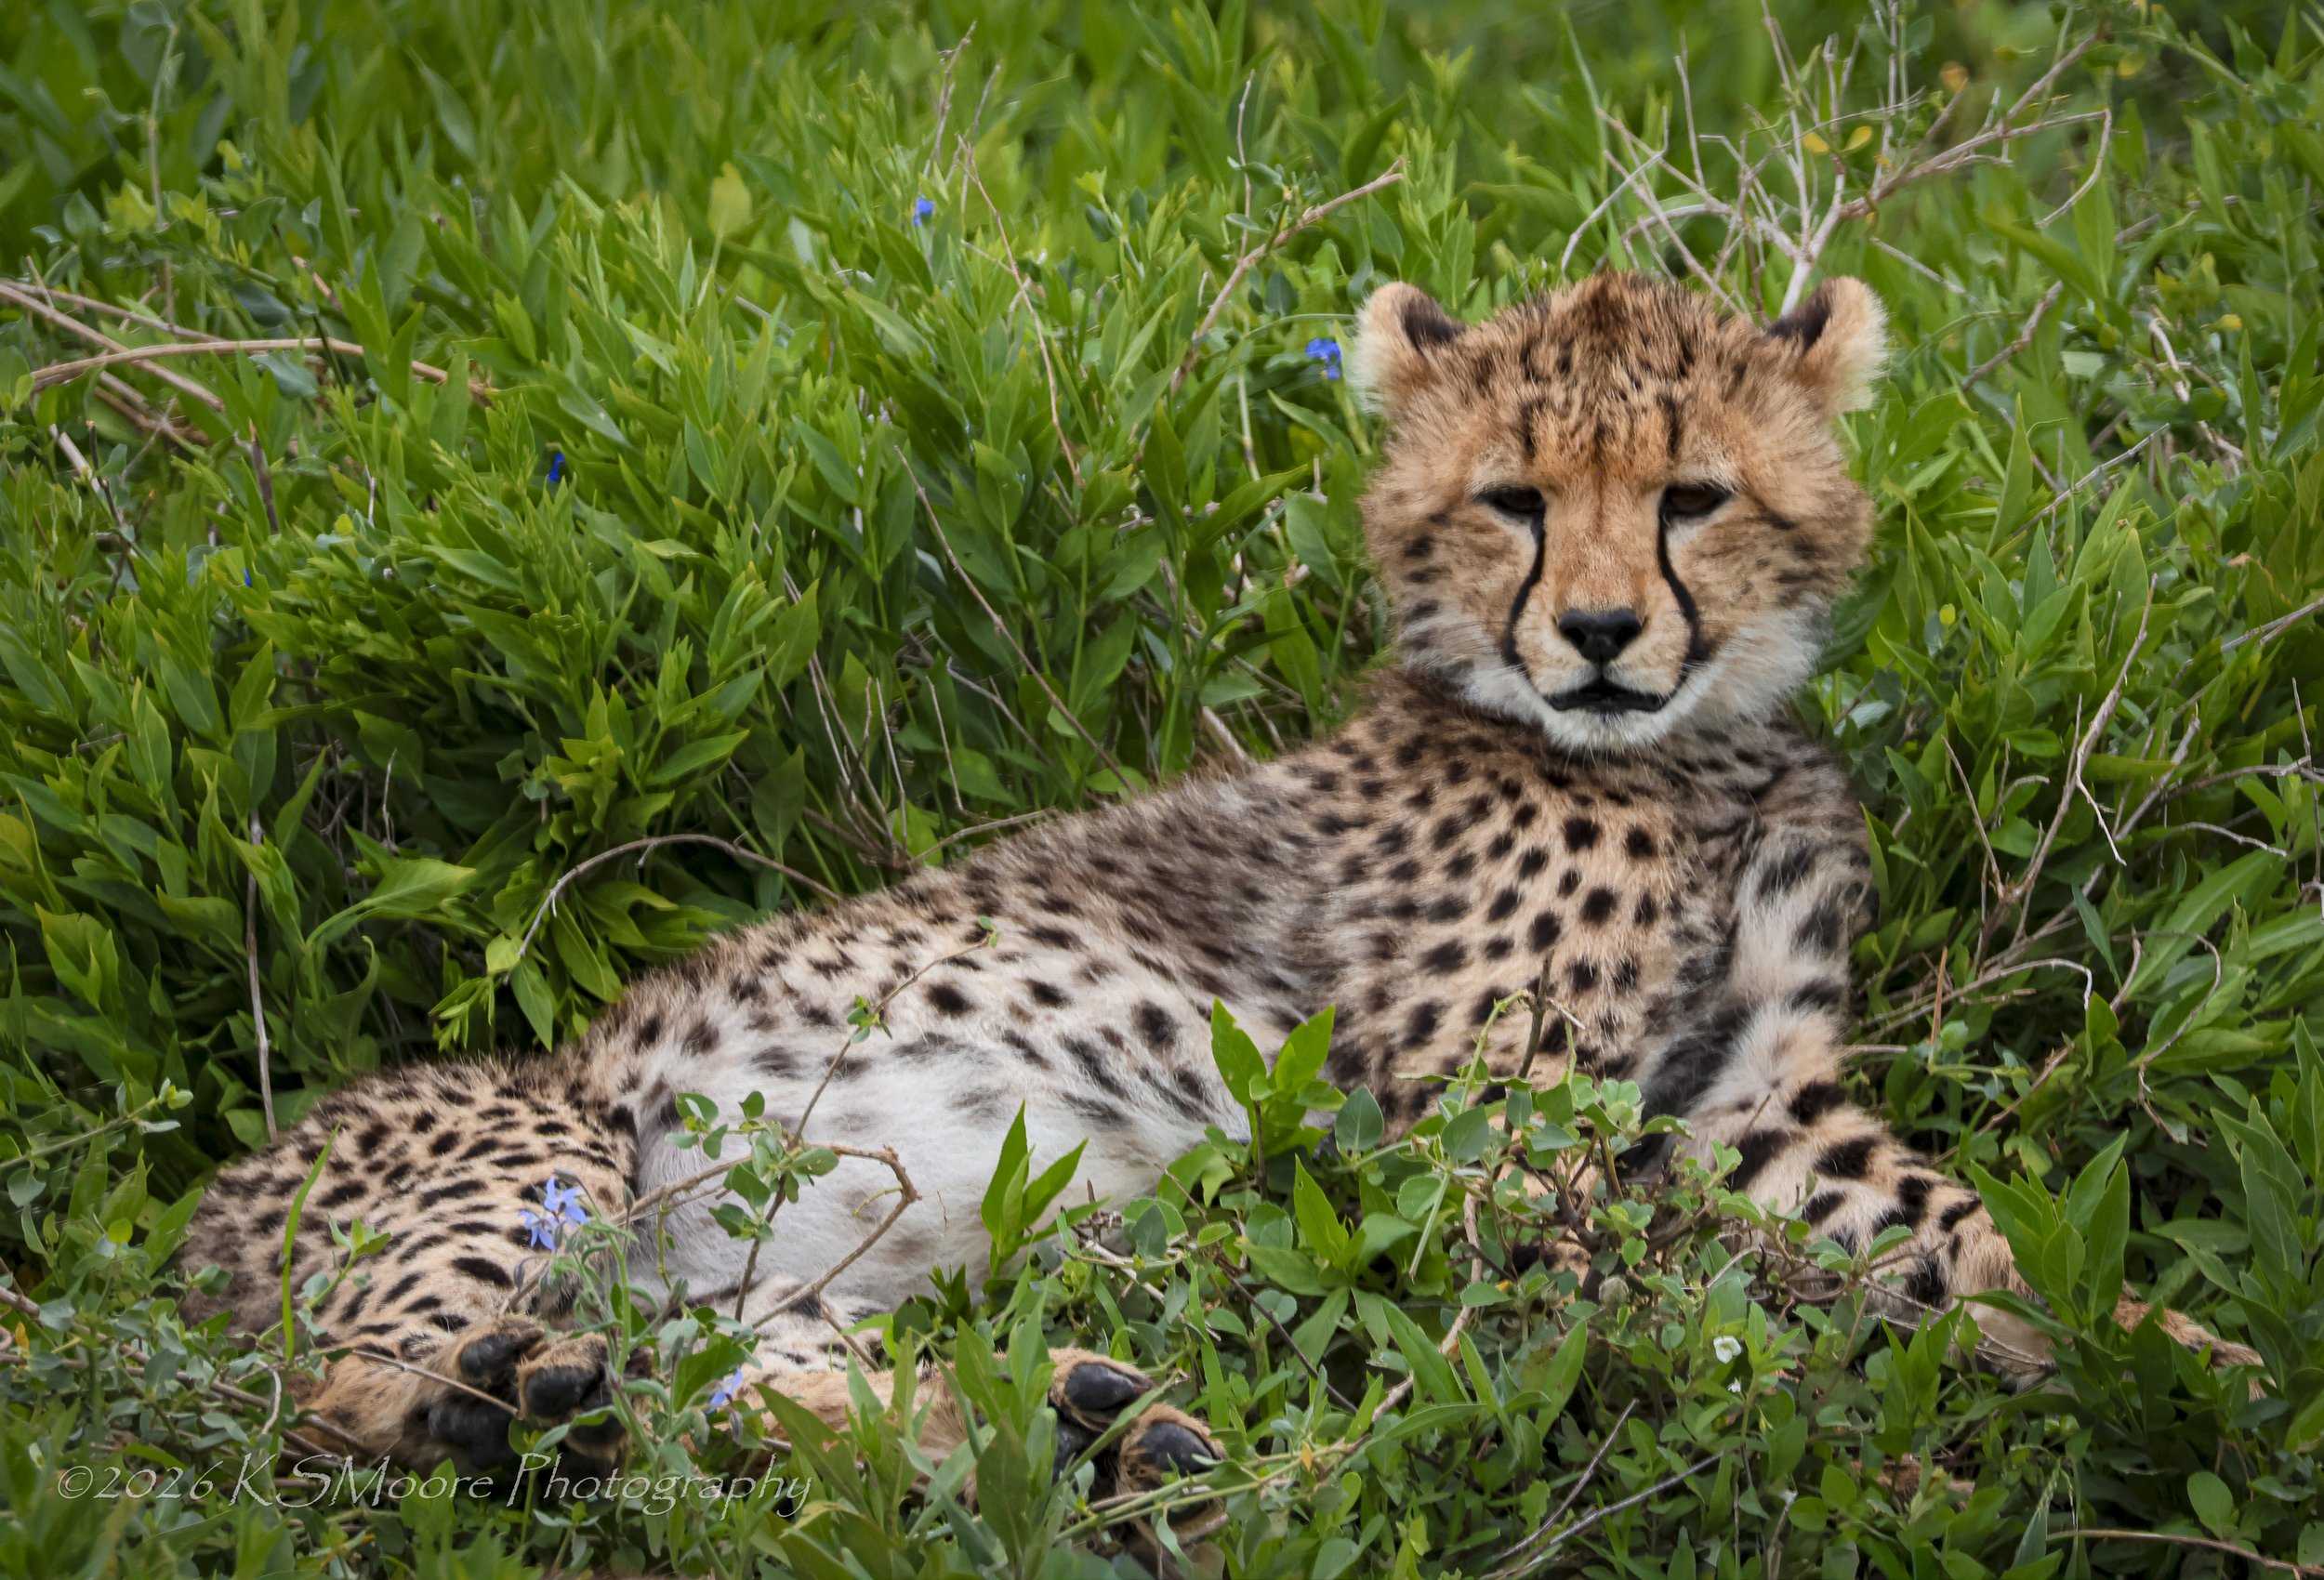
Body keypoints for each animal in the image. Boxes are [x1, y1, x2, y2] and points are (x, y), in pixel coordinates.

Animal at [177, 270, 2256, 1520]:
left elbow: (1971, 1244)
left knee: (715, 1370)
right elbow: (1754, 1305)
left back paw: (1074, 1424)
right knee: (342, 1381)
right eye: (1511, 500)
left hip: (707, 1264)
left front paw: (2199, 1376)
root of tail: (178, 1225)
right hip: (540, 1146)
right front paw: (1932, 1455)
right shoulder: (1501, 1137)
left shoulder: (1758, 1098)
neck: (1690, 753)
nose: (1597, 636)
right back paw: (524, 1401)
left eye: (1690, 497)